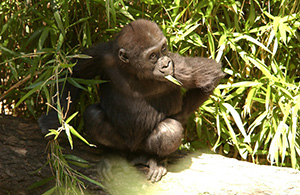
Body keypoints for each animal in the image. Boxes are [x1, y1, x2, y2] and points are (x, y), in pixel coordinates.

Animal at [38, 19, 224, 182]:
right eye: (153, 55)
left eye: (164, 49)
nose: (165, 64)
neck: (135, 70)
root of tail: (134, 153)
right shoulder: (103, 55)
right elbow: (73, 73)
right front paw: (53, 121)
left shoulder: (178, 67)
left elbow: (210, 75)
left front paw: (179, 116)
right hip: (124, 145)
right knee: (94, 116)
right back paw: (113, 154)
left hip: (142, 146)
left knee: (169, 130)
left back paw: (155, 159)